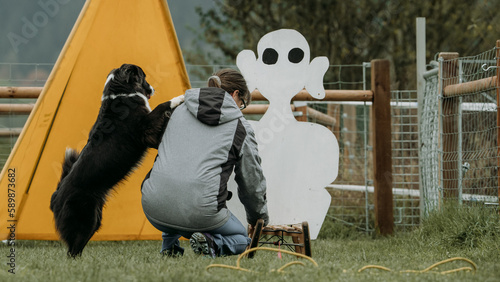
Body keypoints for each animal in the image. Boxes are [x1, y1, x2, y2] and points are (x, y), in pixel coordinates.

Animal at [47, 64, 182, 258]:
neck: (121, 94)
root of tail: (55, 196)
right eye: (144, 77)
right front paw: (181, 97)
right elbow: (162, 106)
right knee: (73, 249)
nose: (153, 89)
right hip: (85, 219)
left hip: (94, 219)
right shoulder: (145, 128)